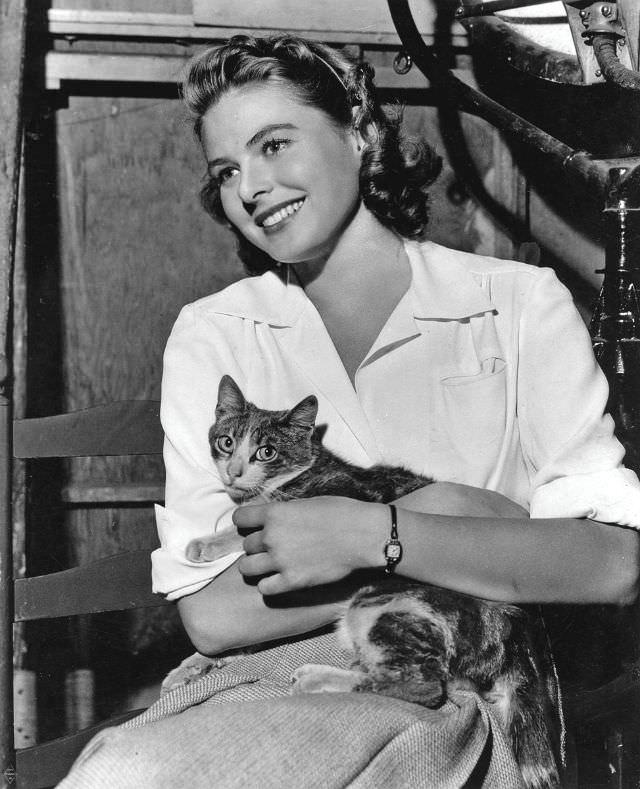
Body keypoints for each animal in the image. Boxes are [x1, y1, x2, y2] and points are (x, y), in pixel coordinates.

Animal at [184, 376, 560, 788]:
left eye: (266, 452)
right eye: (227, 442)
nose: (233, 472)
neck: (305, 470)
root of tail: (519, 638)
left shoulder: (342, 499)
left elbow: (253, 525)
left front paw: (210, 541)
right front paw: (198, 661)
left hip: (386, 601)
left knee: (423, 685)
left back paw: (316, 678)